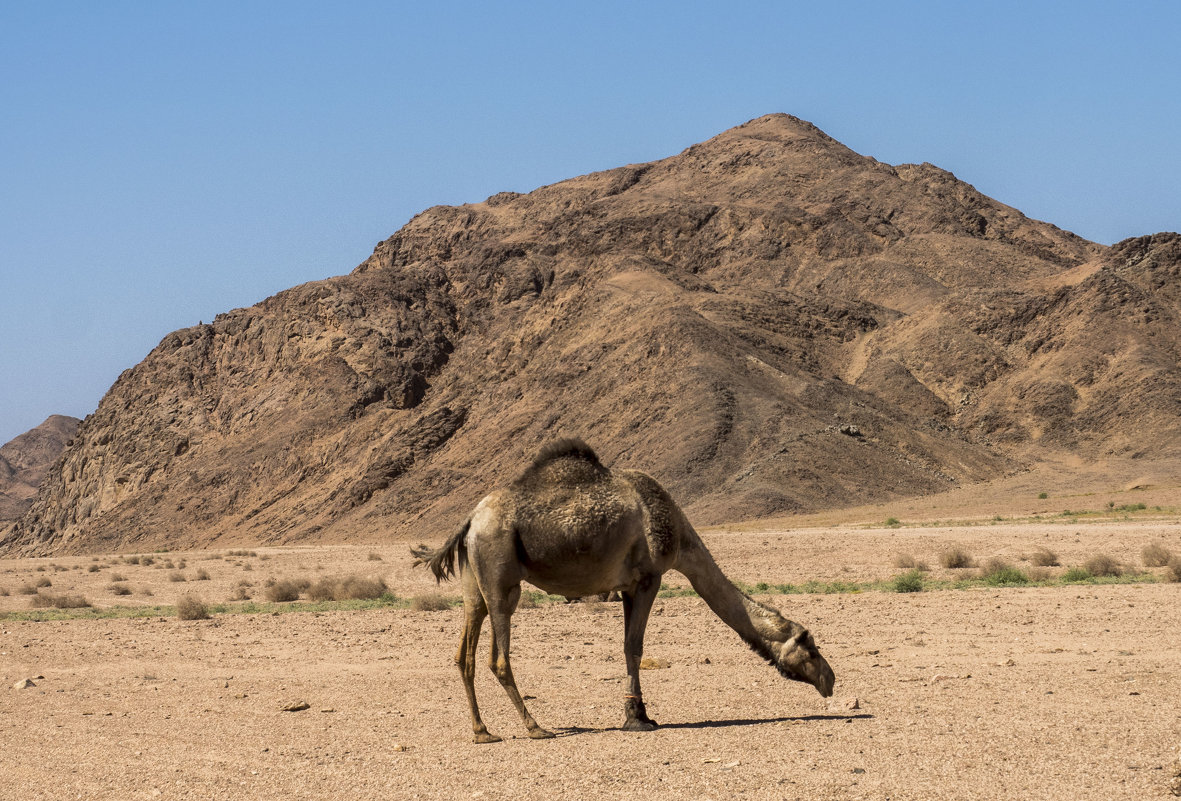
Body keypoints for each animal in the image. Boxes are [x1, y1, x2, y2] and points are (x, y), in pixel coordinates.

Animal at [410, 441, 836, 741]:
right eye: (811, 649)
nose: (830, 680)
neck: (679, 535)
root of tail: (470, 519)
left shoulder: (627, 587)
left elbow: (627, 646)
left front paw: (640, 713)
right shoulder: (648, 578)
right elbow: (635, 647)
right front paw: (638, 718)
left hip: (475, 580)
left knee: (465, 650)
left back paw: (483, 732)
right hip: (500, 573)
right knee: (498, 655)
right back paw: (535, 727)